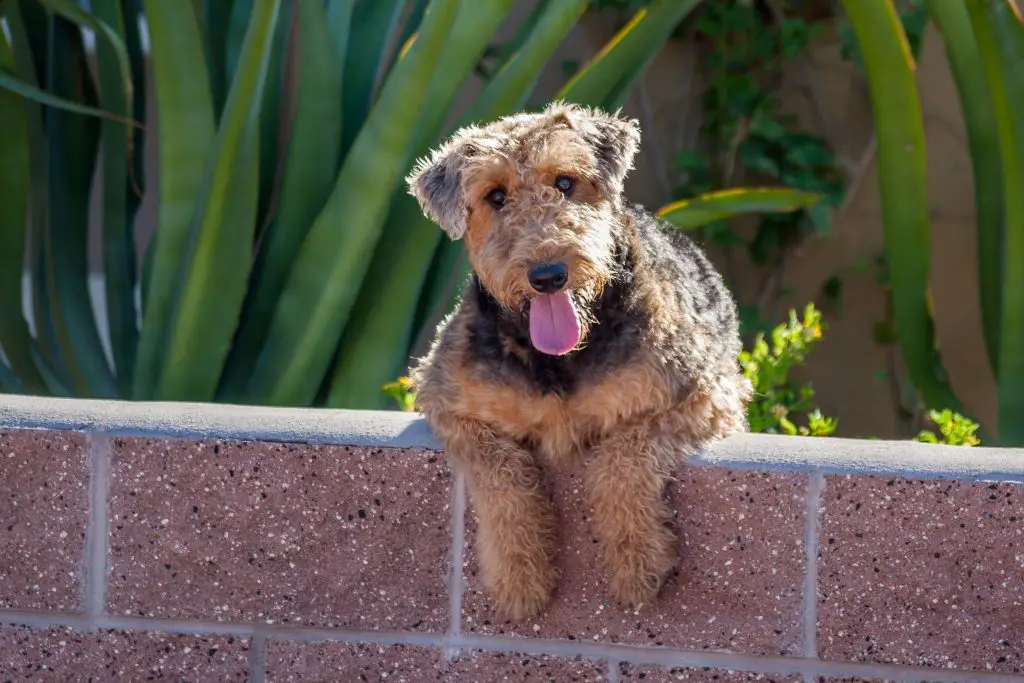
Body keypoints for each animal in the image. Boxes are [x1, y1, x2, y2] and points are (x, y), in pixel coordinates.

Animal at [403, 102, 749, 626]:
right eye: (495, 196)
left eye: (565, 182)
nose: (548, 274)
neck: (560, 361)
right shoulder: (445, 400)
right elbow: (501, 477)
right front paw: (520, 580)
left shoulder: (705, 395)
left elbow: (621, 460)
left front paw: (638, 564)